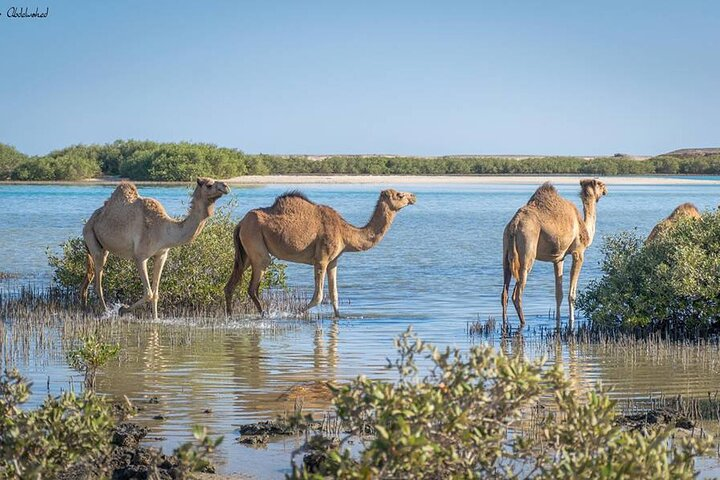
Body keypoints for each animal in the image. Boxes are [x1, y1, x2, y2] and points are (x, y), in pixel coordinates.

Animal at [80, 176, 229, 318]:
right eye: (209, 185)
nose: (226, 186)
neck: (163, 229)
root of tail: (90, 221)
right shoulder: (140, 257)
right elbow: (148, 293)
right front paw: (122, 309)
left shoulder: (162, 255)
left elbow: (156, 294)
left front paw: (155, 319)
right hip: (92, 239)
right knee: (98, 283)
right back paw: (105, 312)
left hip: (101, 247)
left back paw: (86, 307)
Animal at [225, 188, 416, 318]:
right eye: (399, 195)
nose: (413, 196)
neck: (344, 233)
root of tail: (240, 224)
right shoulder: (321, 259)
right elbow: (318, 296)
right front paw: (296, 313)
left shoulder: (333, 262)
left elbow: (334, 295)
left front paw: (339, 318)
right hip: (257, 246)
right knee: (253, 287)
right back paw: (264, 314)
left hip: (245, 254)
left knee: (231, 285)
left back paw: (230, 315)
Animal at [500, 178, 608, 332]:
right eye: (600, 184)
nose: (606, 190)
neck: (583, 226)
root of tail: (514, 224)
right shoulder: (578, 253)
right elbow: (571, 294)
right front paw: (571, 322)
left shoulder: (558, 258)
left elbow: (559, 294)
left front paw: (557, 321)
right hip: (527, 250)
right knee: (517, 293)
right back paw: (523, 323)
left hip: (506, 251)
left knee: (504, 292)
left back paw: (505, 323)